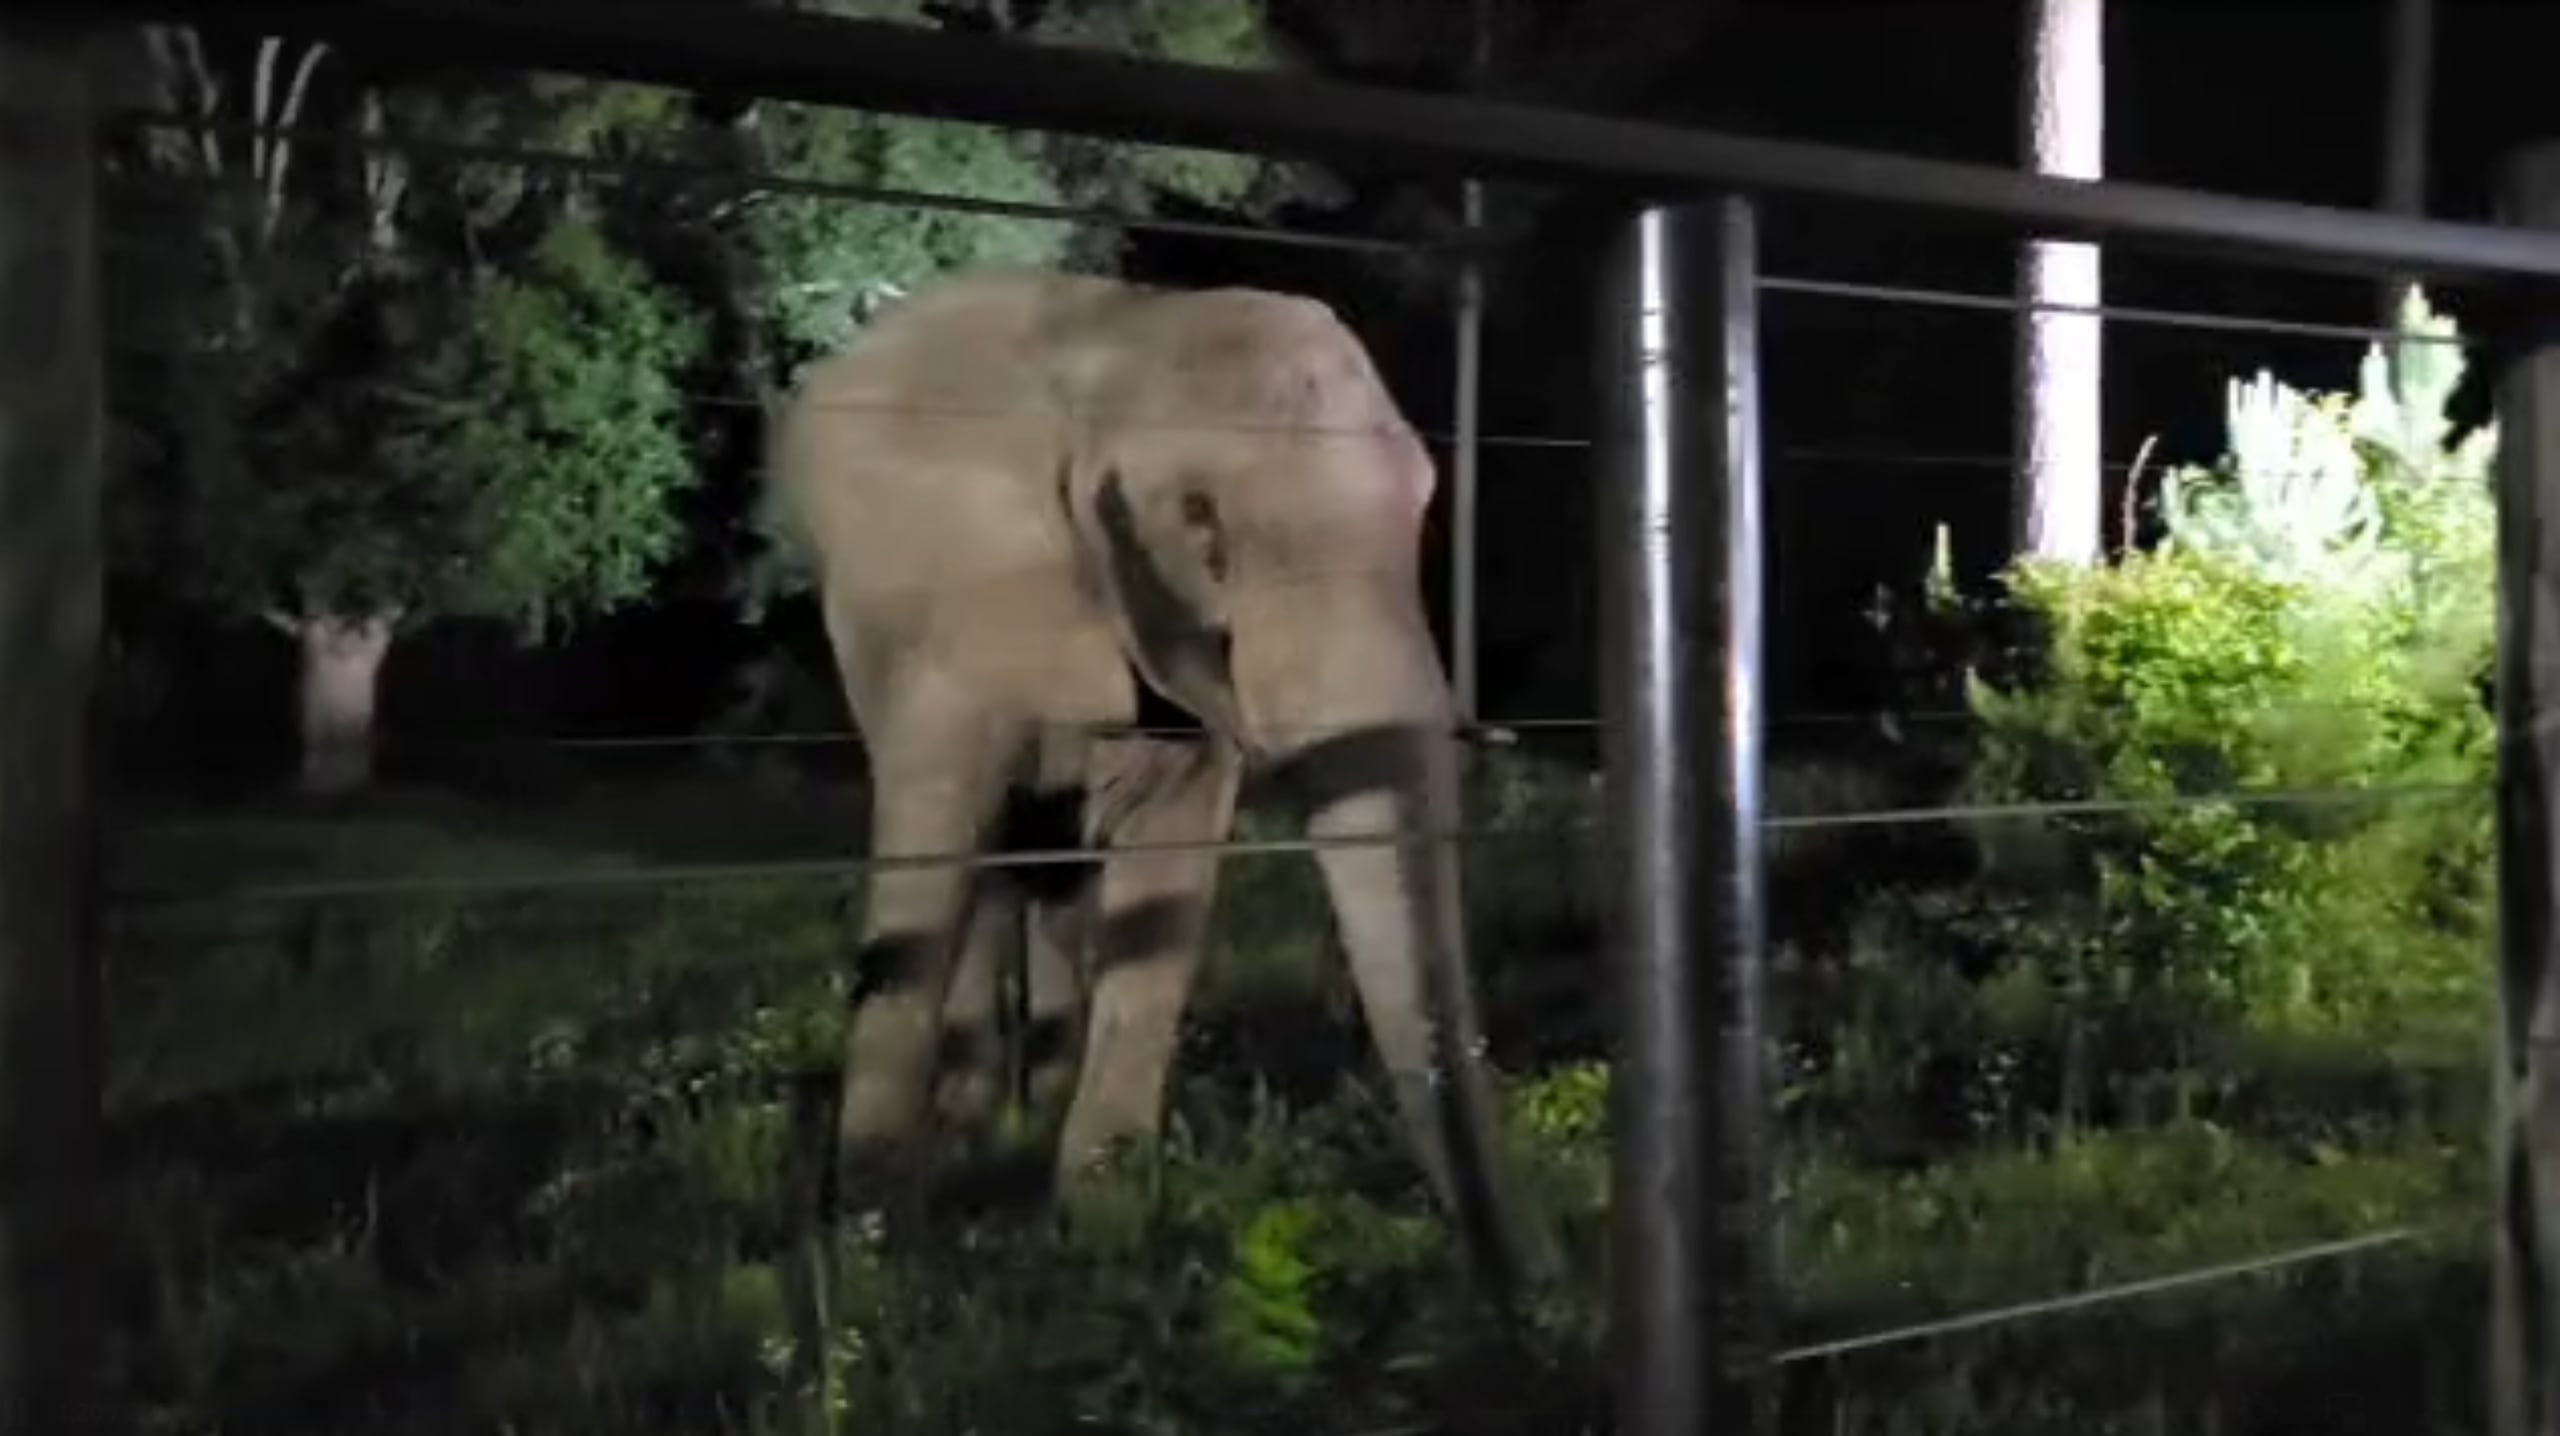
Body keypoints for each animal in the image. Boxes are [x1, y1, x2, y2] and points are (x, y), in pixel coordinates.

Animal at [768, 266, 1536, 1290]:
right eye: (1200, 518)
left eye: (1422, 505)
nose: (1529, 1291)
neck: (1134, 336)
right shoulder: (957, 599)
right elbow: (932, 846)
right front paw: (872, 1258)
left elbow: (1167, 873)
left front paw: (1101, 1239)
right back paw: (972, 1128)